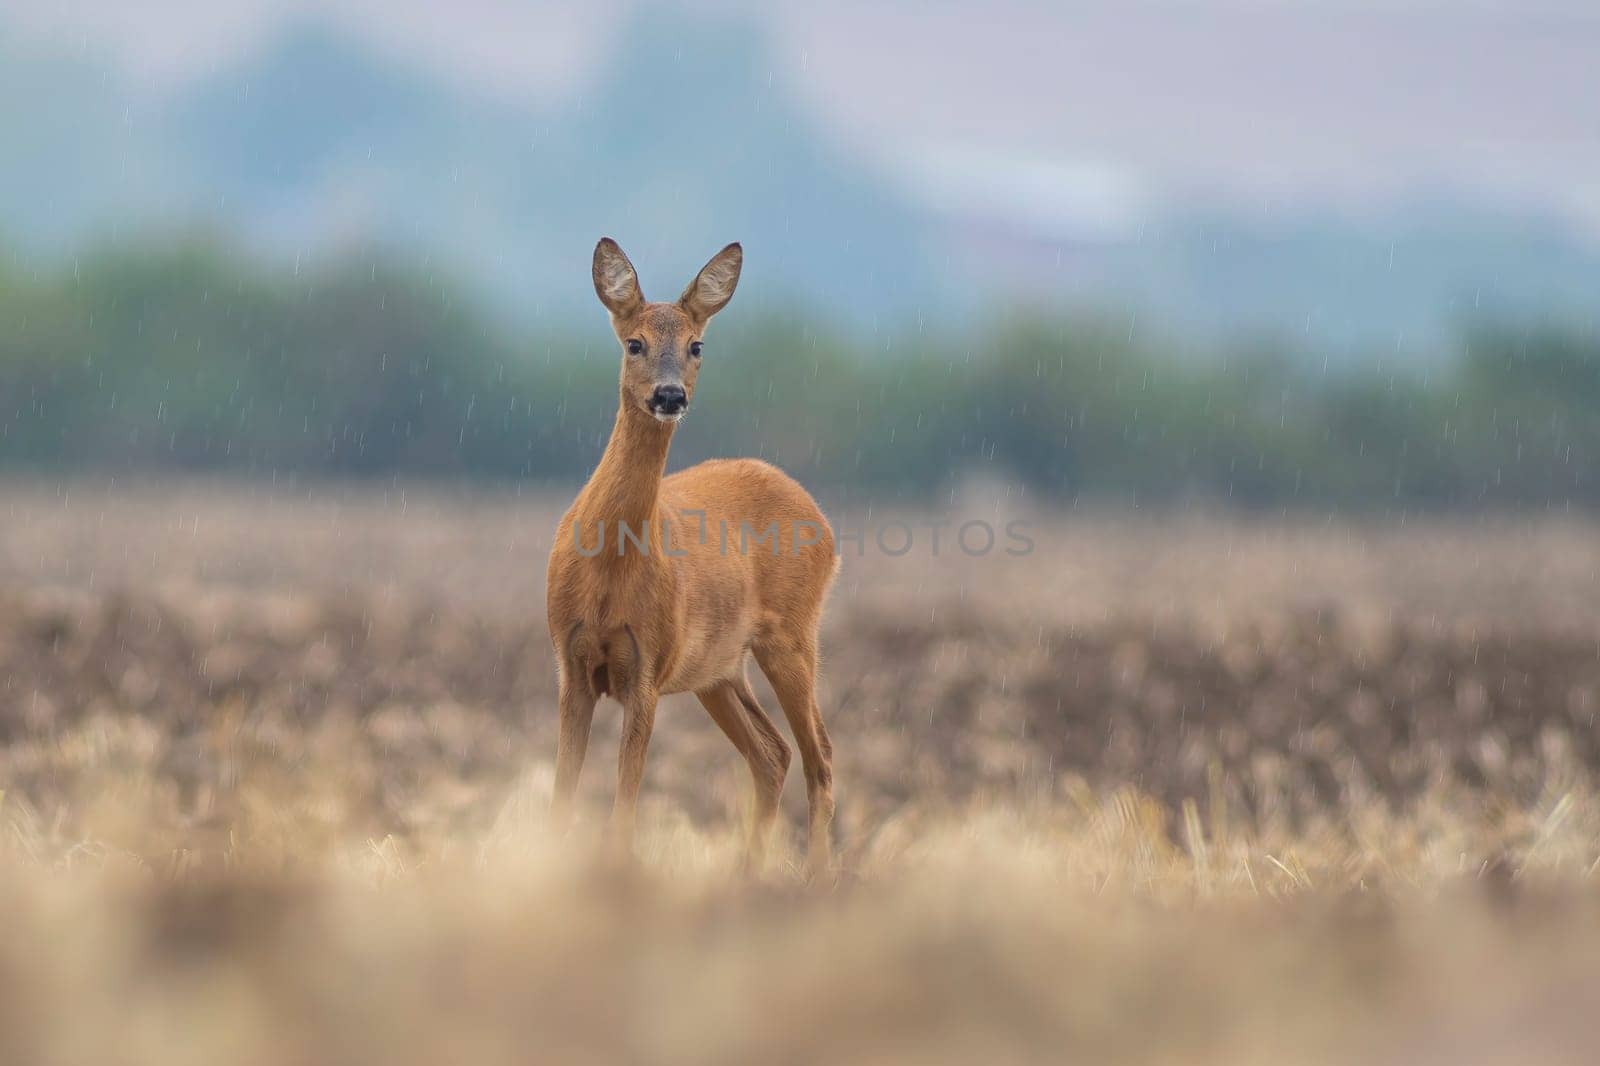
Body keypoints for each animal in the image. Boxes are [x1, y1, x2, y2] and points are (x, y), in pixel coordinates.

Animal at [547, 238, 838, 870]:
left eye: (696, 345)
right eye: (634, 342)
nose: (669, 394)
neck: (609, 574)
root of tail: (823, 520)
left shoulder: (648, 664)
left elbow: (625, 803)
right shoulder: (571, 661)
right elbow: (563, 793)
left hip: (792, 635)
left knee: (820, 754)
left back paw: (814, 879)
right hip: (719, 669)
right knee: (772, 753)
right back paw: (747, 874)